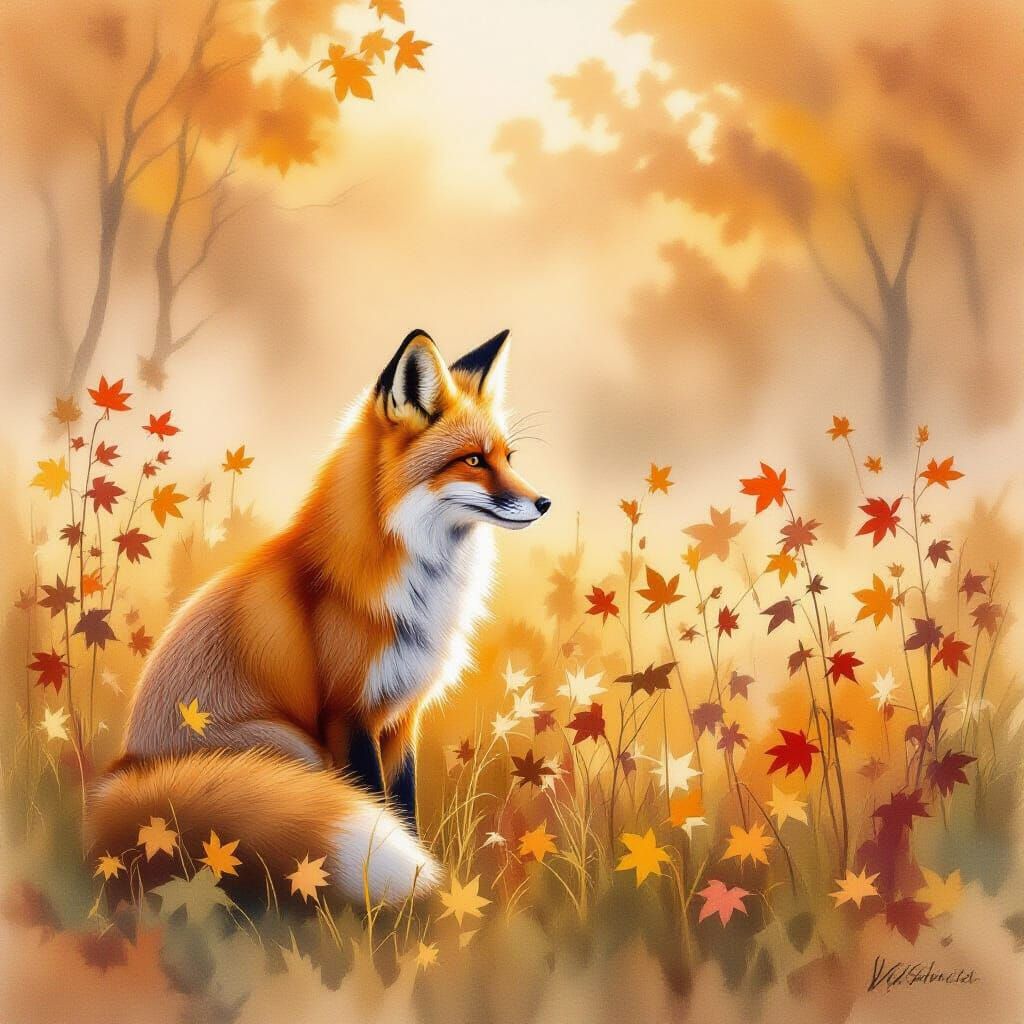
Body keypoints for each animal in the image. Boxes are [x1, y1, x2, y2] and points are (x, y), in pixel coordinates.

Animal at [85, 329, 550, 906]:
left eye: (508, 457)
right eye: (473, 461)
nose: (544, 502)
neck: (416, 588)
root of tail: (122, 782)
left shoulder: (402, 715)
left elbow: (402, 809)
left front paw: (420, 884)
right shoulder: (348, 712)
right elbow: (374, 803)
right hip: (291, 748)